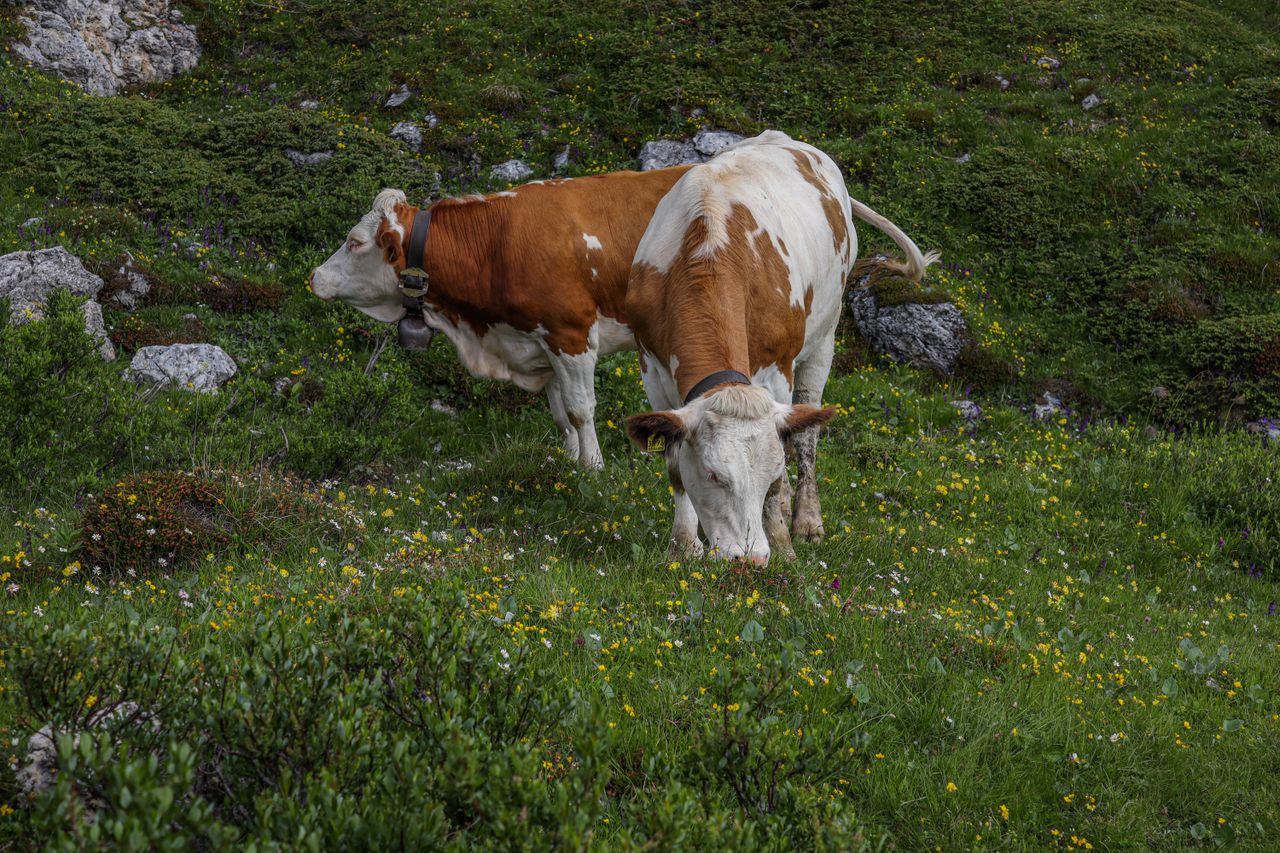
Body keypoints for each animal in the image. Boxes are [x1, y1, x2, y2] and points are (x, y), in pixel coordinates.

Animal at [308, 166, 691, 469]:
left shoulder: (571, 335)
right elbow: (561, 415)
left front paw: (593, 469)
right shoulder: (541, 343)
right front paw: (568, 464)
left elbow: (580, 410)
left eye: (355, 242)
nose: (314, 276)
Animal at [624, 130, 938, 563]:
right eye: (713, 474)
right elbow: (673, 466)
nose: (749, 559)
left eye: (767, 475)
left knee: (804, 440)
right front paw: (684, 546)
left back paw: (805, 521)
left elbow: (784, 460)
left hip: (823, 340)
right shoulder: (652, 371)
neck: (706, 249)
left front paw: (781, 543)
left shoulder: (776, 372)